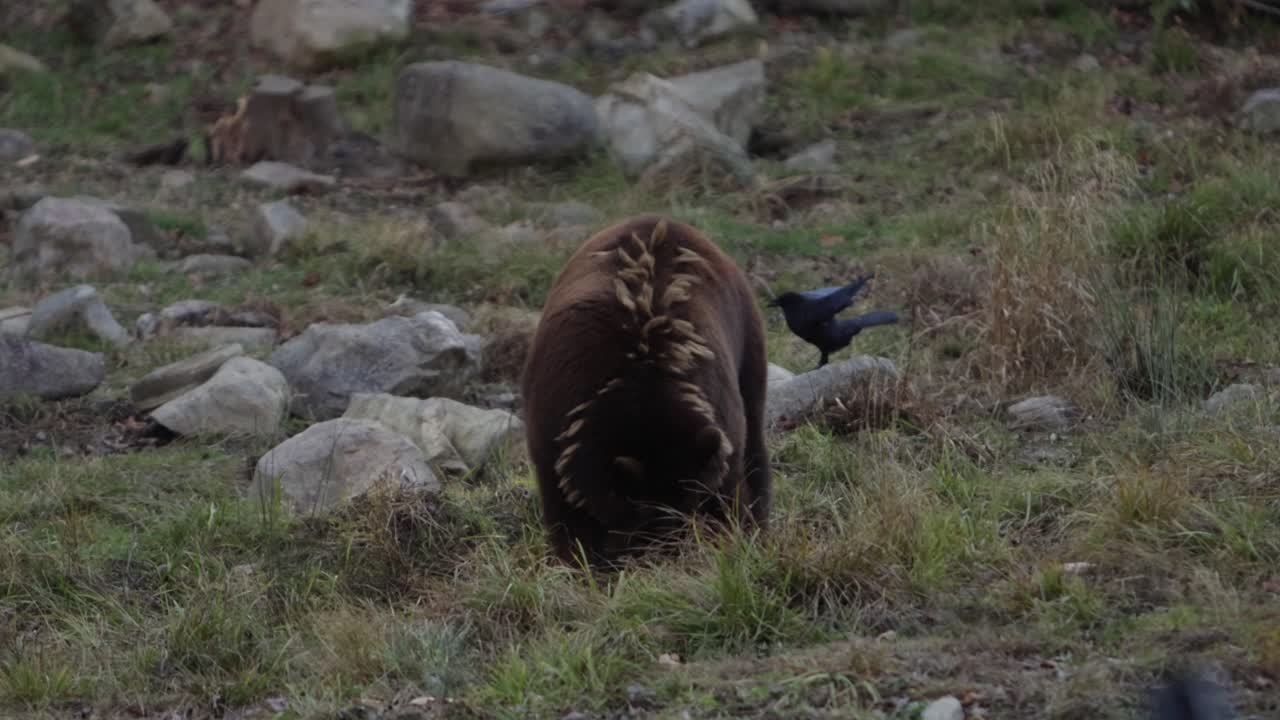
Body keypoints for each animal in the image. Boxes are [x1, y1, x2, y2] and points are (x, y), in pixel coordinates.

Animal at [520, 215, 772, 568]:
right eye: (650, 517)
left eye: (692, 504)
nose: (677, 551)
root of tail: (662, 220)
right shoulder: (553, 443)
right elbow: (569, 520)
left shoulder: (722, 435)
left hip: (749, 346)